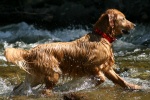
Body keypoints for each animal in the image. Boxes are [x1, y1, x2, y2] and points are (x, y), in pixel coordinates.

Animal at [4, 8, 141, 95]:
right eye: (123, 18)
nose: (135, 25)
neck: (101, 36)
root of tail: (30, 52)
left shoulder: (107, 67)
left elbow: (120, 80)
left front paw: (133, 87)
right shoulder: (89, 65)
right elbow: (100, 78)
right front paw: (78, 86)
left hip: (36, 77)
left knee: (18, 87)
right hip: (52, 74)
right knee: (45, 90)